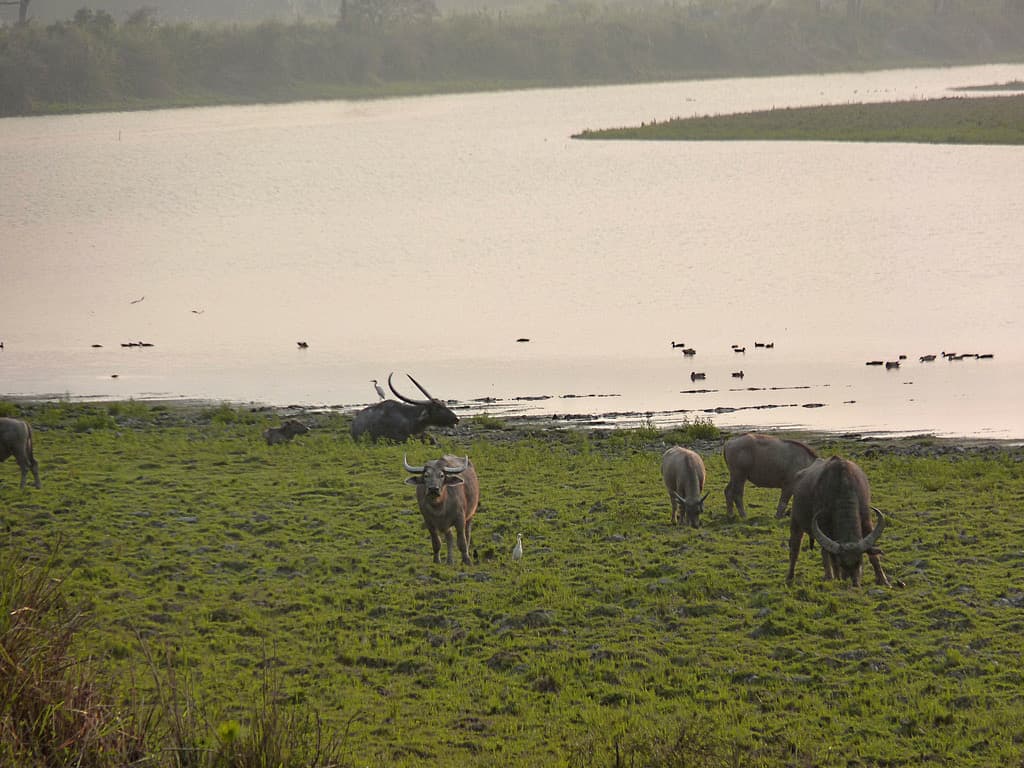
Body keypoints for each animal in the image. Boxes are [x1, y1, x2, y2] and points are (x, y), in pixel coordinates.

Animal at [787, 456, 891, 587]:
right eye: (842, 563)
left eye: (859, 562)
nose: (853, 583)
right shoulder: (824, 526)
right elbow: (830, 558)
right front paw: (835, 578)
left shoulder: (867, 522)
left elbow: (874, 556)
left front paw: (883, 580)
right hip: (795, 522)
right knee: (795, 549)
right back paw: (790, 577)